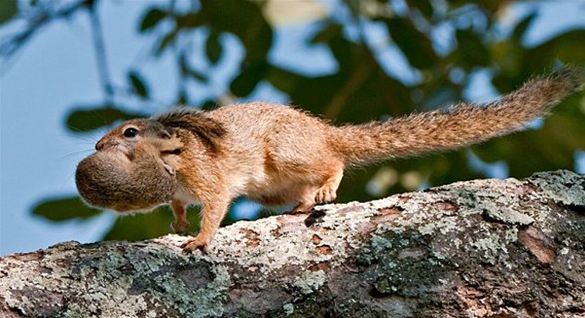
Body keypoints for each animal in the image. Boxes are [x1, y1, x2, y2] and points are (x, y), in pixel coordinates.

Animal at [75, 67, 580, 251]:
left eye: (130, 132)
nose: (97, 147)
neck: (172, 160)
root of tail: (324, 132)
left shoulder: (204, 173)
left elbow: (215, 205)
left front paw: (199, 238)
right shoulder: (181, 188)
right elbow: (180, 205)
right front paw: (179, 223)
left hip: (287, 153)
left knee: (332, 162)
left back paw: (326, 184)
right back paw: (301, 204)